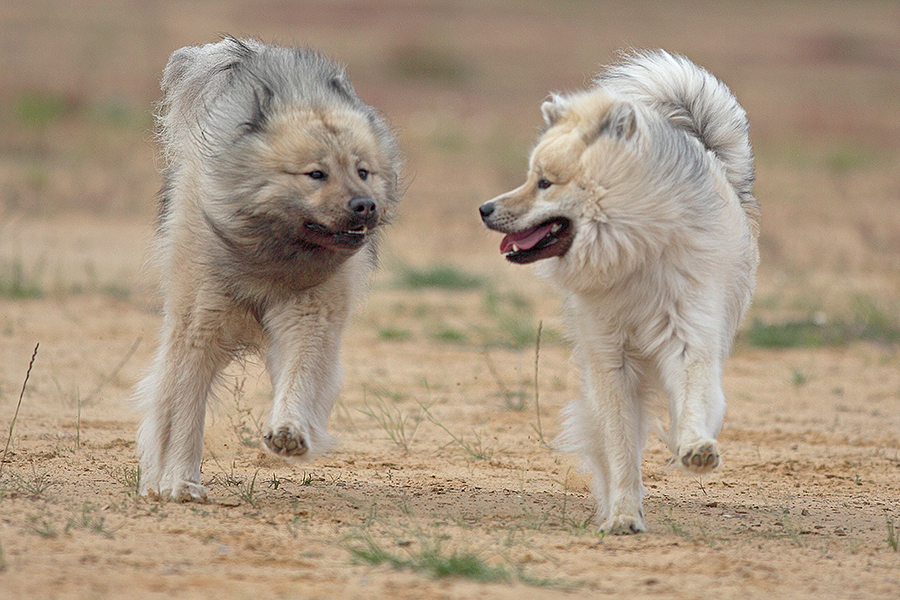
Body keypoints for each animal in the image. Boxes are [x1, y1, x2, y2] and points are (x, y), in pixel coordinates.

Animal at [134, 37, 400, 502]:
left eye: (363, 171)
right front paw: (180, 481)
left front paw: (289, 432)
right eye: (316, 173)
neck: (274, 255)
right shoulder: (200, 327)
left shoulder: (309, 318)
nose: (365, 206)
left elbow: (299, 376)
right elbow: (185, 409)